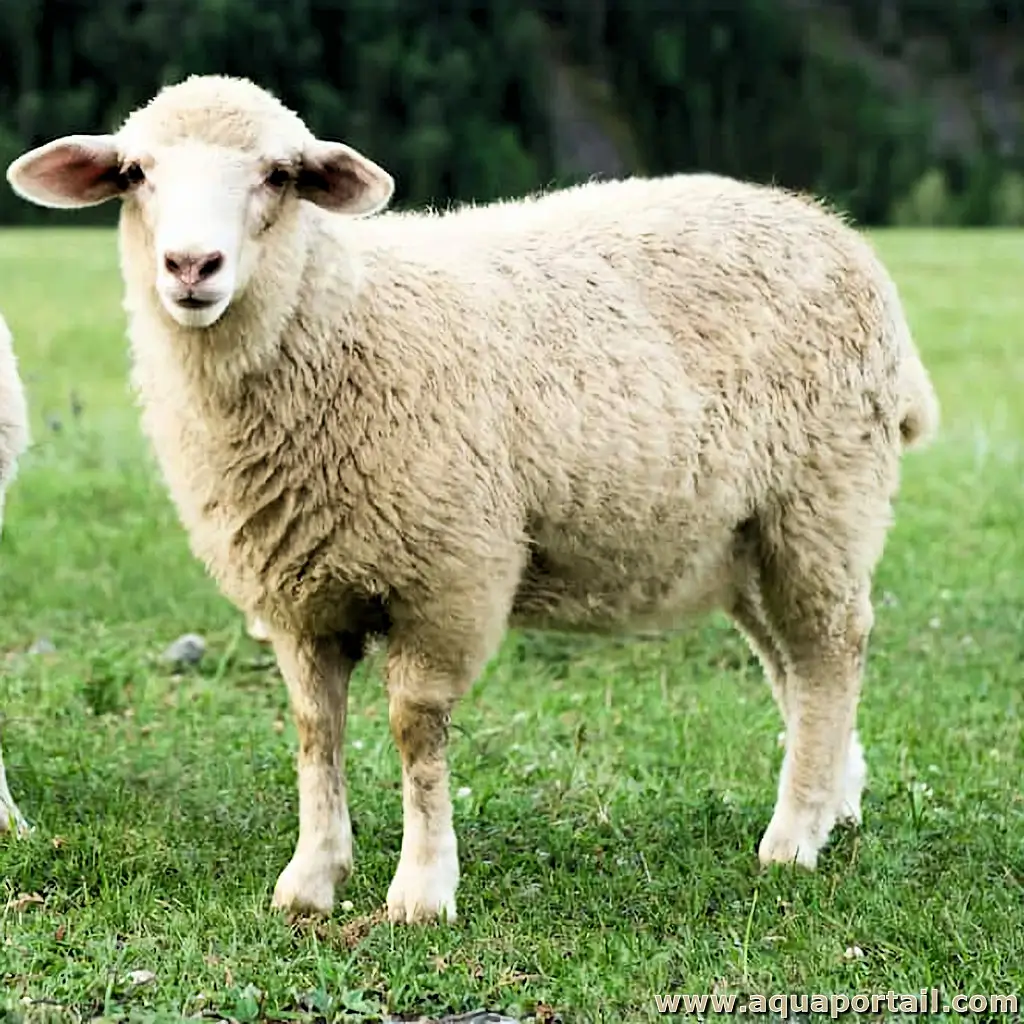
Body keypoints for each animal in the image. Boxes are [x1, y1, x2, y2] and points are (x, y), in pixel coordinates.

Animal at [5, 74, 939, 925]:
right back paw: (836, 797)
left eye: (278, 174)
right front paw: (312, 879)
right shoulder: (298, 595)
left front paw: (421, 891)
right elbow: (315, 729)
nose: (191, 267)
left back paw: (795, 835)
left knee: (830, 652)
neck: (337, 323)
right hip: (742, 535)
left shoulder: (448, 576)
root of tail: (836, 234)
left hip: (822, 501)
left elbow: (415, 730)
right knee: (791, 664)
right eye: (134, 172)